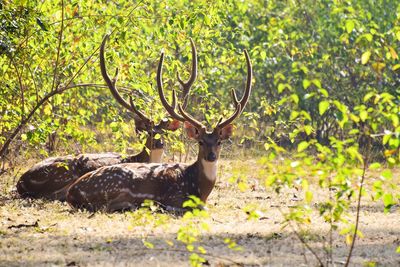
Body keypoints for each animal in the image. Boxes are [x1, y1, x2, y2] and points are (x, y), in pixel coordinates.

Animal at [66, 38, 253, 214]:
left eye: (219, 142)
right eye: (200, 142)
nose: (212, 156)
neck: (199, 190)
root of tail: (71, 192)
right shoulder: (175, 196)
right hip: (115, 187)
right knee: (109, 205)